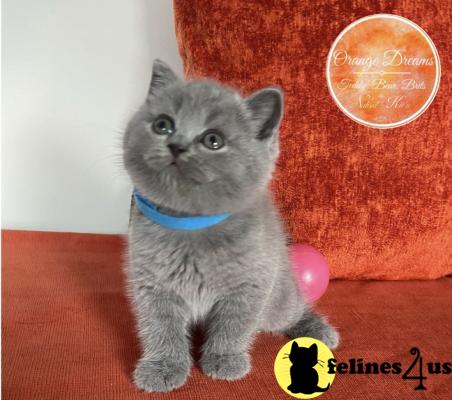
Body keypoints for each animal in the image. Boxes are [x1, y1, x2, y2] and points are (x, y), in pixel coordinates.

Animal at [123, 60, 340, 394]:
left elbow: (234, 324)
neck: (191, 224)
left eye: (213, 140)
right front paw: (162, 366)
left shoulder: (251, 284)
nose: (176, 145)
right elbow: (160, 327)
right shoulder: (151, 284)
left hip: (278, 296)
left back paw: (318, 329)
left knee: (293, 308)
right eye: (162, 125)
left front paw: (224, 360)